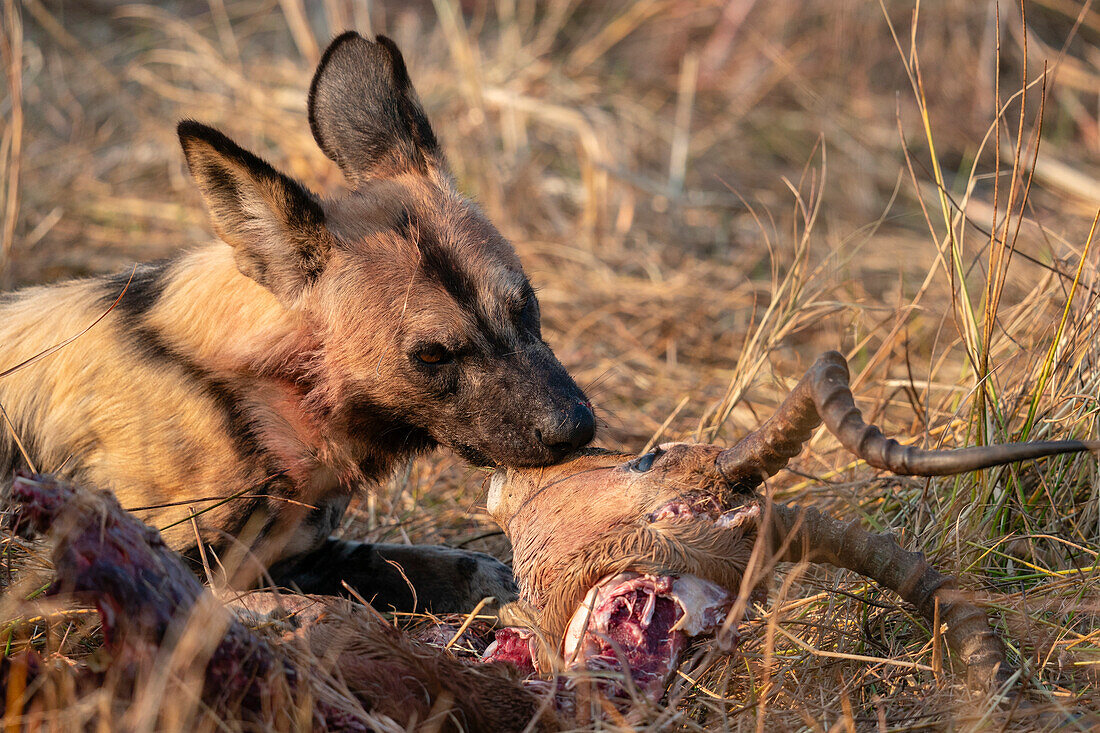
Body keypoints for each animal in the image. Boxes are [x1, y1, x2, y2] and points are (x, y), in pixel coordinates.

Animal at [0, 31, 594, 607]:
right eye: (432, 354)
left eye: (526, 305)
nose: (577, 428)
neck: (248, 390)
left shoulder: (300, 556)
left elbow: (472, 568)